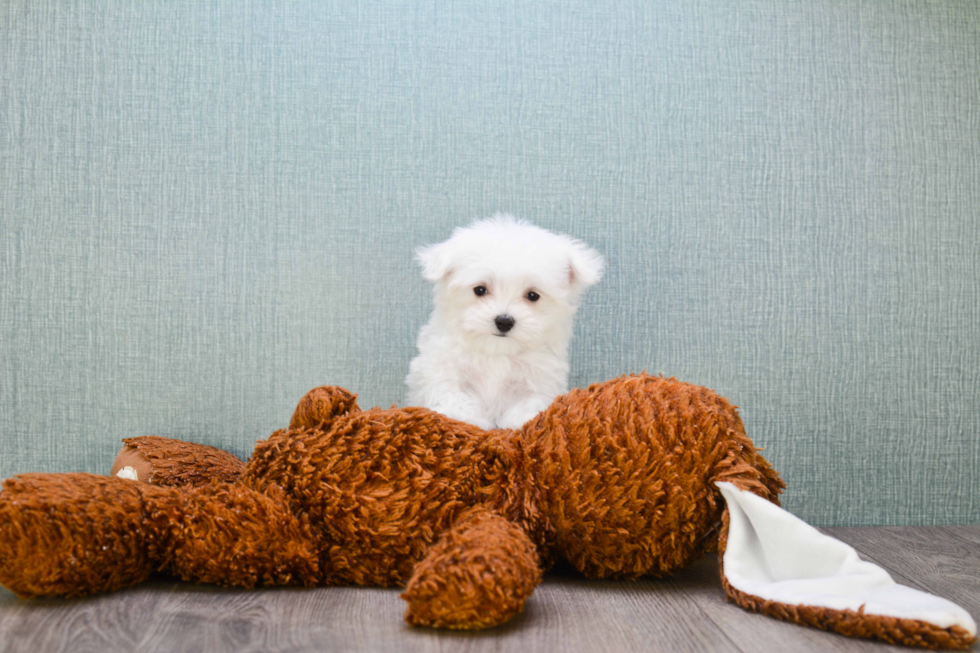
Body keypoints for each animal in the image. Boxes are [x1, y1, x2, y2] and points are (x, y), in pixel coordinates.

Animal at [406, 214, 604, 428]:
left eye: (533, 295)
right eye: (480, 290)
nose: (504, 321)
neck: (497, 353)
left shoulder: (539, 380)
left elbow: (528, 407)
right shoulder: (445, 369)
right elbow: (454, 397)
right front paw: (462, 418)